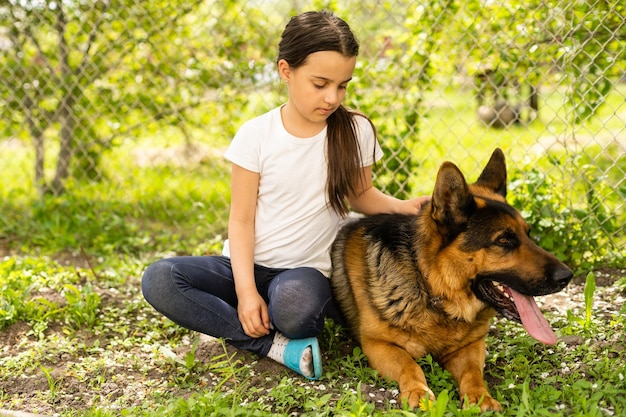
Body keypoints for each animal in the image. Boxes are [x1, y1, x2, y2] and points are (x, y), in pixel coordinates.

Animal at [332, 149, 572, 410]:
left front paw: (480, 397)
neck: (432, 289)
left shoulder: (470, 346)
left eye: (528, 234)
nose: (567, 276)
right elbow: (409, 364)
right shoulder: (378, 345)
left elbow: (472, 373)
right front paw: (418, 390)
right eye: (504, 240)